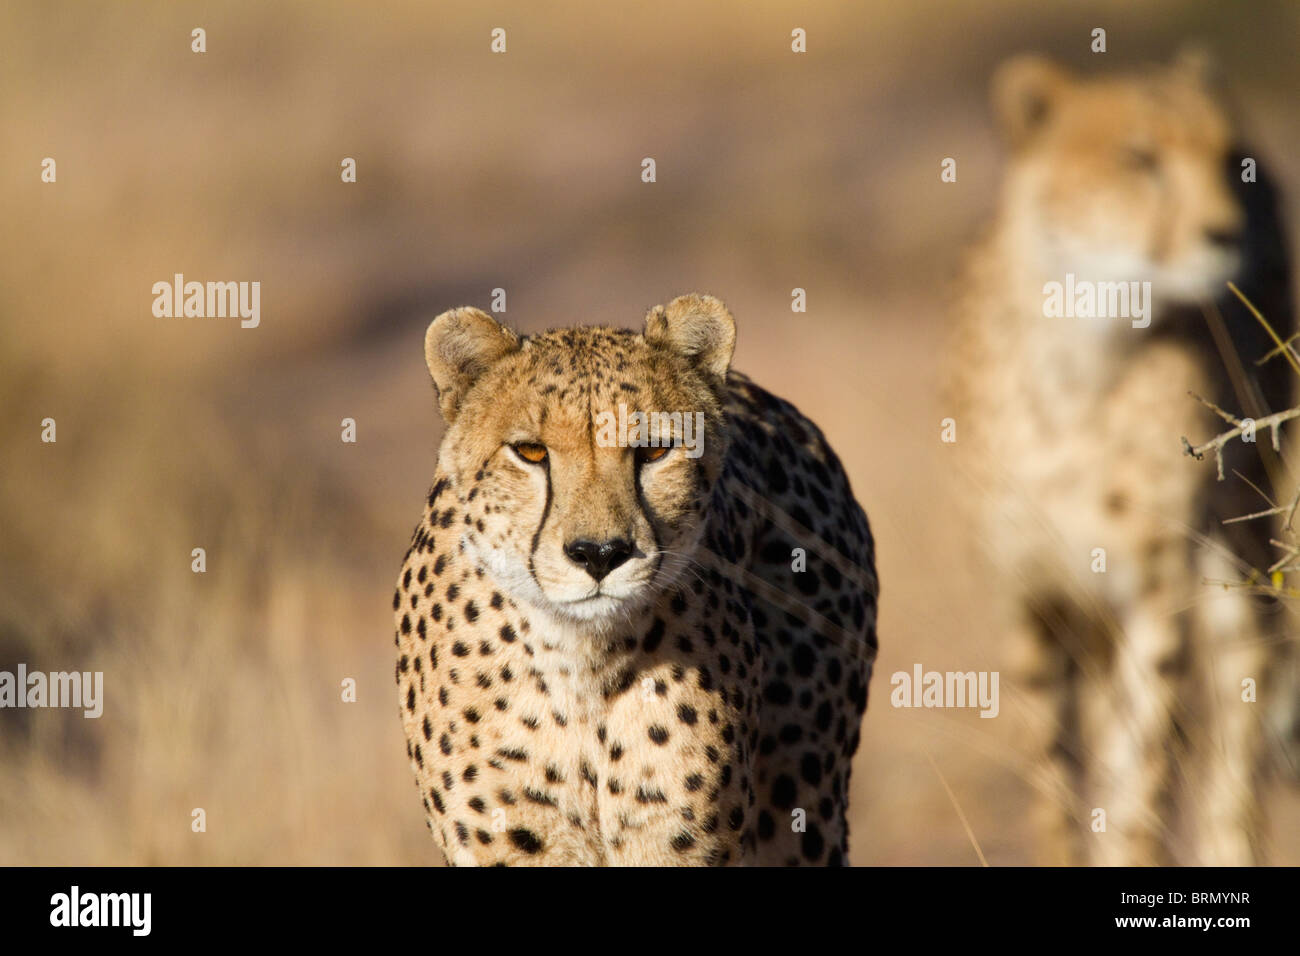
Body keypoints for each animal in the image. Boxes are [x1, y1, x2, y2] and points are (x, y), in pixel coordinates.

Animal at [951, 52, 1294, 868]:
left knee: (1239, 717)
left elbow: (1142, 770)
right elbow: (1055, 777)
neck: (1085, 352)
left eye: (1227, 159)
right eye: (1141, 159)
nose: (1227, 234)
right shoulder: (1032, 592)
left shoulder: (1157, 587)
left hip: (1240, 552)